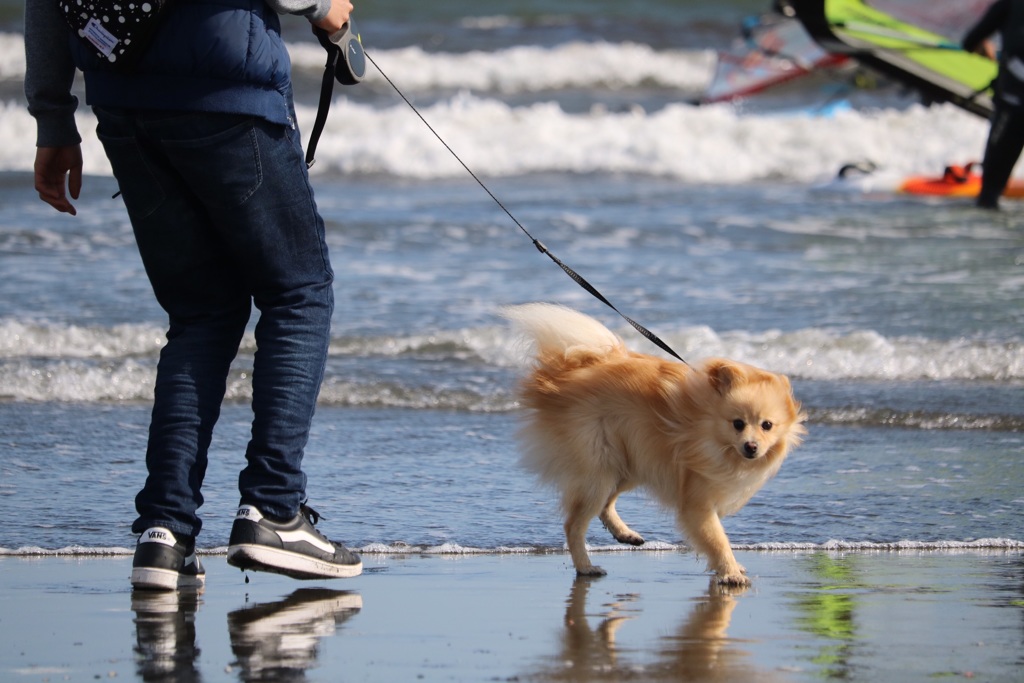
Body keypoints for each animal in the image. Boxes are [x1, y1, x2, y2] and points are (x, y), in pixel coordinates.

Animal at [505, 301, 806, 585]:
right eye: (738, 424)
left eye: (767, 425)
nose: (751, 447)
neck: (708, 429)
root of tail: (558, 376)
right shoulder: (697, 501)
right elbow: (717, 539)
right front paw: (730, 571)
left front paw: (730, 568)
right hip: (599, 468)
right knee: (574, 524)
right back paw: (586, 566)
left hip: (630, 463)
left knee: (605, 505)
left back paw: (625, 534)